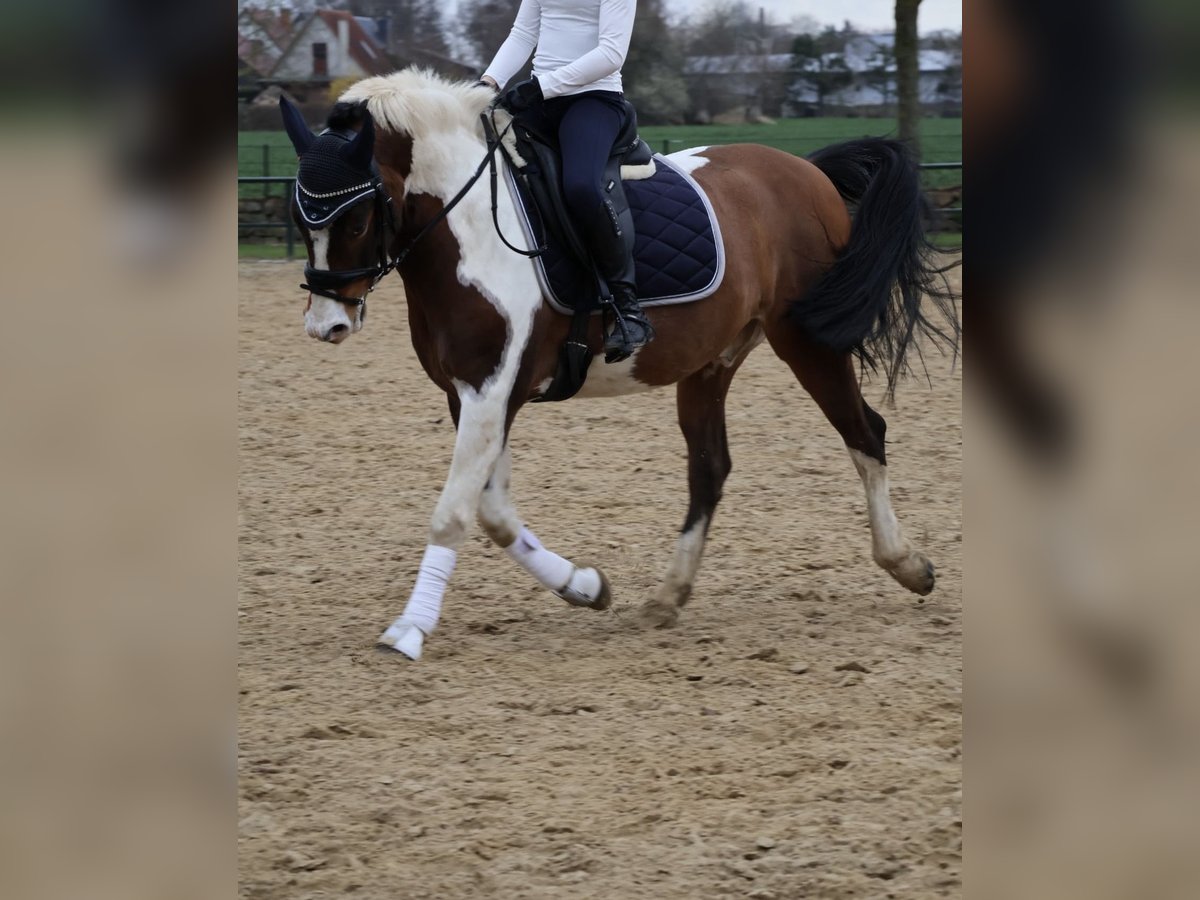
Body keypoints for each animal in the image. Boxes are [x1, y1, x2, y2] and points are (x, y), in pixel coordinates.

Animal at [278, 72, 955, 662]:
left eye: (357, 217)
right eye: (299, 217)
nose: (327, 325)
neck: (463, 234)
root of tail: (807, 171)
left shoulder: (493, 391)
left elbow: (454, 515)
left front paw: (410, 630)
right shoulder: (473, 394)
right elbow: (495, 514)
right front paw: (584, 585)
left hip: (808, 343)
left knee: (865, 434)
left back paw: (907, 565)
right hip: (712, 362)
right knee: (710, 468)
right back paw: (667, 596)